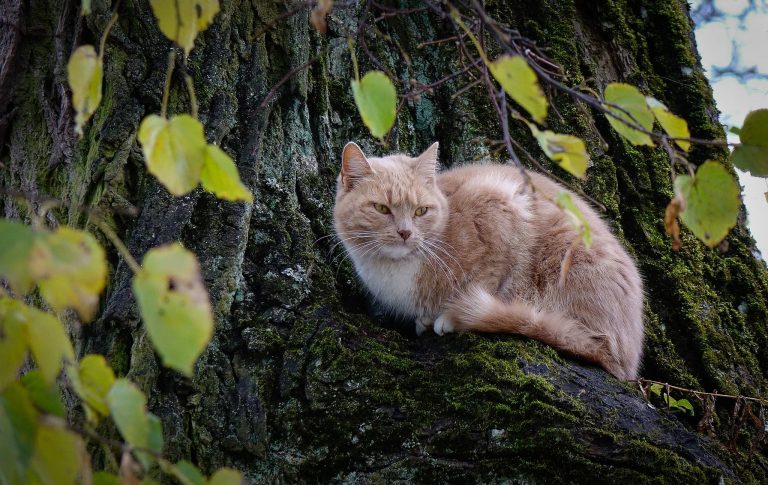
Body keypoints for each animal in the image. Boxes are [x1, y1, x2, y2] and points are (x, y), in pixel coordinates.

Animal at [332, 140, 644, 378]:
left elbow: (488, 278)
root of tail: (628, 359)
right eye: (382, 209)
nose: (406, 232)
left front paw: (448, 316)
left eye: (421, 211)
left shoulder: (497, 206)